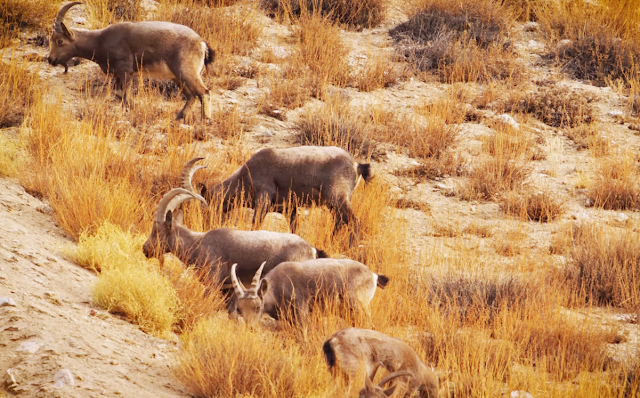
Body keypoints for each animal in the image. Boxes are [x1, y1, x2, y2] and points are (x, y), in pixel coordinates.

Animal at [47, 1, 214, 119]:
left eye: (60, 41)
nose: (51, 59)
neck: (100, 41)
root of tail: (201, 43)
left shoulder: (126, 71)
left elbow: (123, 94)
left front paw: (127, 109)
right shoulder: (119, 74)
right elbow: (118, 93)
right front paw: (130, 107)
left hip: (186, 72)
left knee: (204, 92)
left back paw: (206, 119)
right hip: (177, 78)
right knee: (192, 95)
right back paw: (179, 117)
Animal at [143, 157, 328, 304]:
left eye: (156, 230)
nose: (145, 249)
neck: (198, 244)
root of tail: (312, 250)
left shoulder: (214, 283)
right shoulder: (229, 290)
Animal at [200, 146, 370, 233]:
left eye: (206, 206)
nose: (205, 226)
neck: (245, 175)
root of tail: (356, 165)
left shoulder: (263, 200)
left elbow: (255, 224)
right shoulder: (289, 209)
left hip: (338, 199)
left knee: (355, 222)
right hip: (334, 205)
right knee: (340, 222)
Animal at [230, 258, 390, 326]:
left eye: (258, 307)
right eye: (239, 309)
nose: (250, 328)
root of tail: (373, 275)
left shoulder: (302, 312)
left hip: (359, 306)